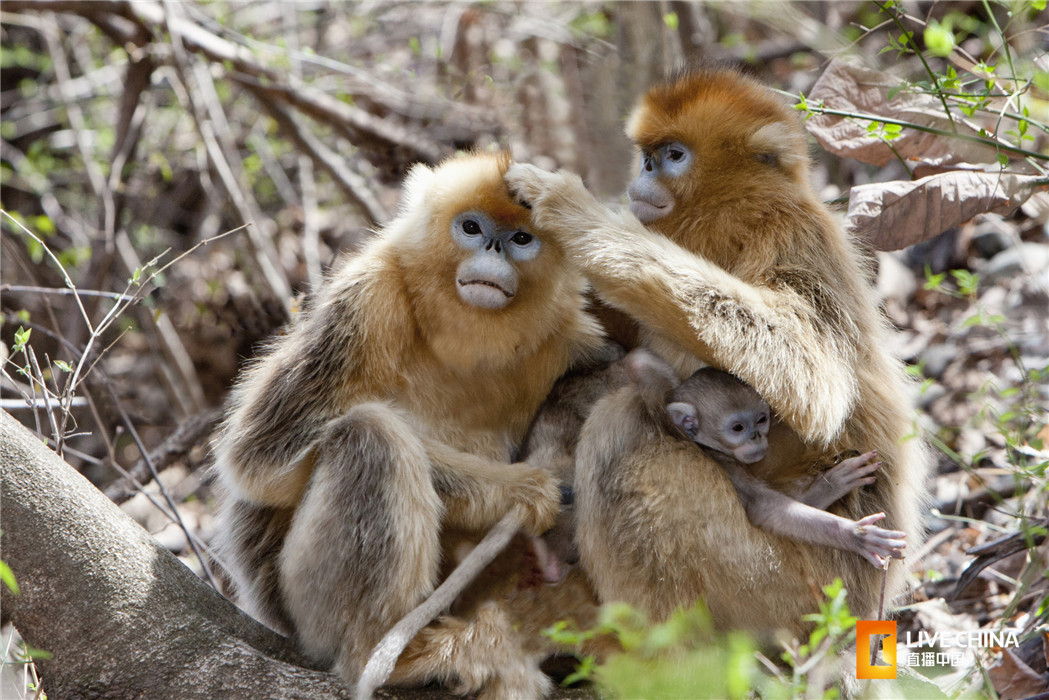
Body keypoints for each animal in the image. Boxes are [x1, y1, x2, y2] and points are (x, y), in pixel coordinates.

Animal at [211, 151, 608, 696]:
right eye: (471, 227)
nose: (494, 249)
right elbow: (259, 462)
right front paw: (525, 490)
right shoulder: (367, 299)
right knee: (371, 435)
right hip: (306, 605)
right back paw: (390, 656)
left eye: (521, 238)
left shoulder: (568, 333)